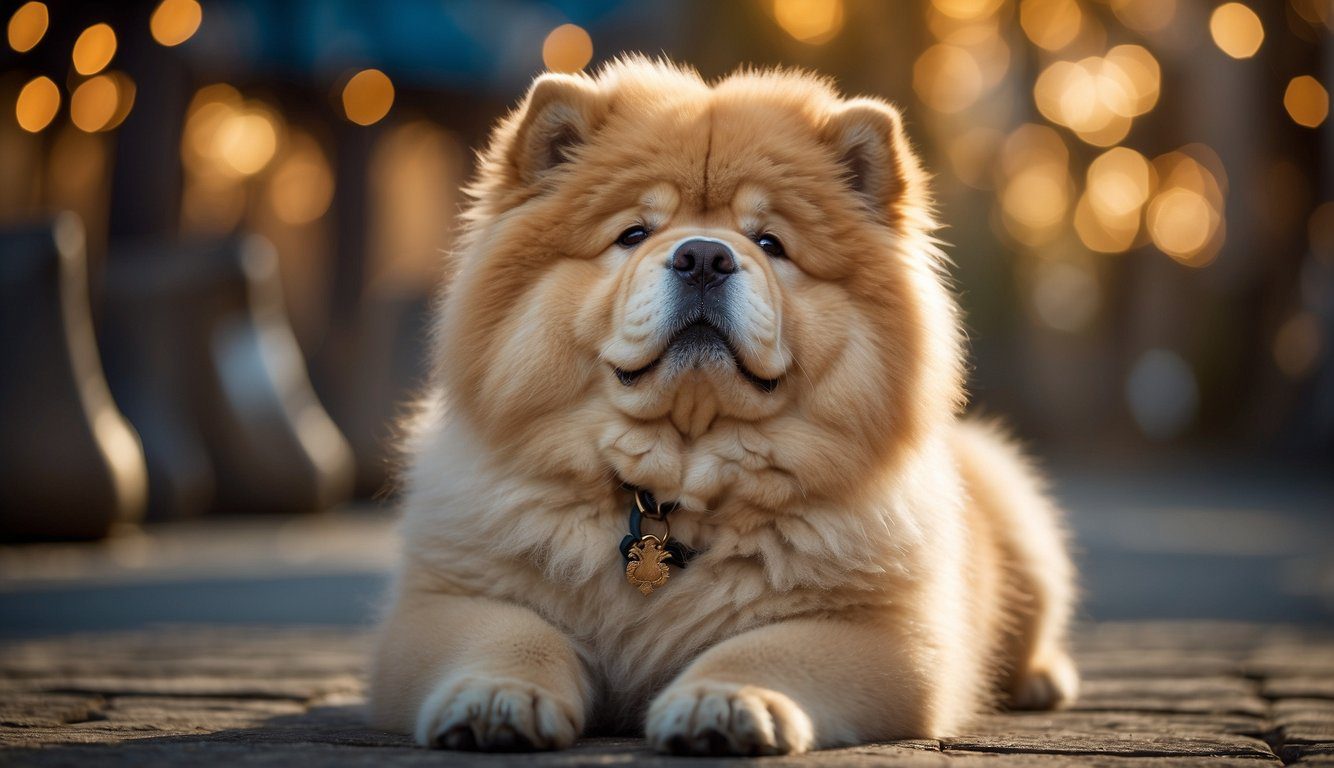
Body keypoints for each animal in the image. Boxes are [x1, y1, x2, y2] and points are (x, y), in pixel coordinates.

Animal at [370, 58, 1077, 757]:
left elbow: (761, 651)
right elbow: (514, 634)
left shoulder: (882, 633)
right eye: (633, 234)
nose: (704, 255)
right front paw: (497, 699)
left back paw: (1043, 679)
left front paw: (724, 703)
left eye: (770, 243)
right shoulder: (446, 600)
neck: (673, 494)